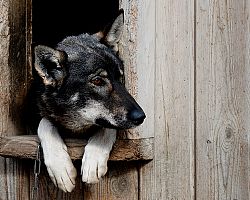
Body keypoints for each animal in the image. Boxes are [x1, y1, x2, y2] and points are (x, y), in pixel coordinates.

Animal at [33, 11, 146, 192]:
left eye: (120, 77)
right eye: (98, 81)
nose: (141, 117)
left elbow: (107, 127)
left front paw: (94, 159)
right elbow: (44, 123)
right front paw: (60, 167)